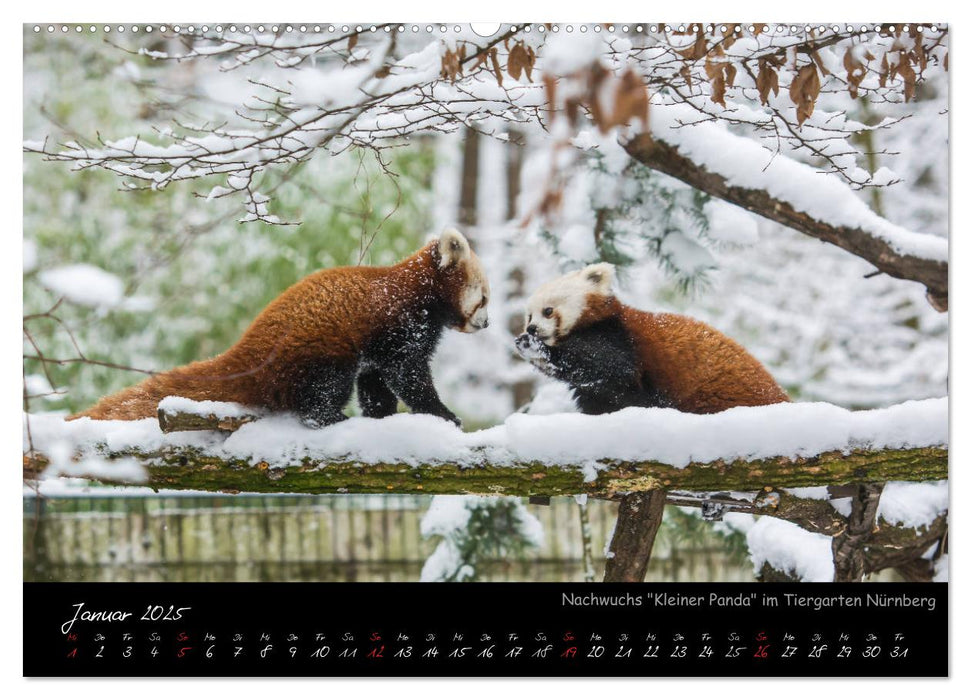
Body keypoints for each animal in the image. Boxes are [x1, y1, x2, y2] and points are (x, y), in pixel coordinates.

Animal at [71, 230, 490, 426]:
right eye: (484, 298)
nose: (488, 323)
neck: (418, 290)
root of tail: (250, 350)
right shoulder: (400, 325)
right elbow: (408, 376)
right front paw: (444, 414)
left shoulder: (378, 346)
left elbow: (375, 384)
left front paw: (382, 416)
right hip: (320, 350)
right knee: (321, 392)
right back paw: (330, 417)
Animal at [516, 264, 788, 416]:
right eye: (528, 316)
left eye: (548, 311)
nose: (531, 329)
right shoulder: (596, 392)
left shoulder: (618, 340)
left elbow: (609, 366)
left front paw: (538, 349)